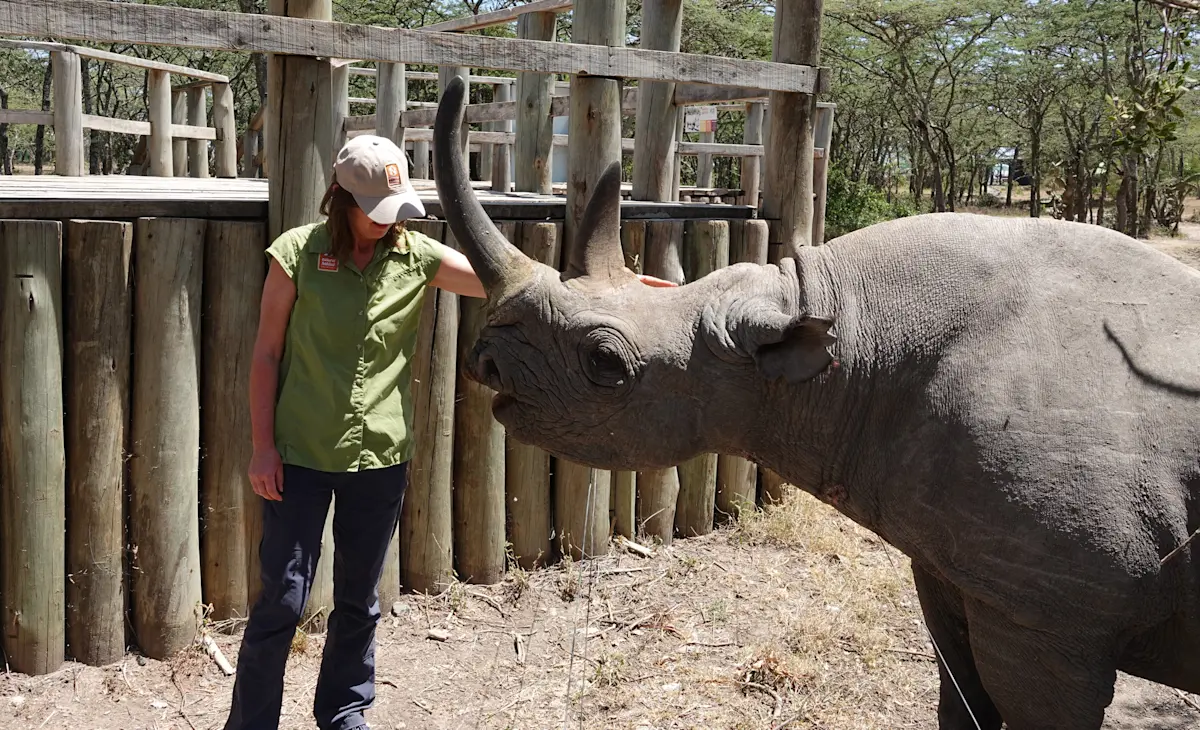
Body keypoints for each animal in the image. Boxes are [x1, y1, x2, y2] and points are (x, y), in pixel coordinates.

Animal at [431, 75, 1200, 730]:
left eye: (604, 363)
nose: (486, 359)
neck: (841, 338)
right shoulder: (962, 571)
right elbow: (960, 697)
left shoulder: (1049, 617)